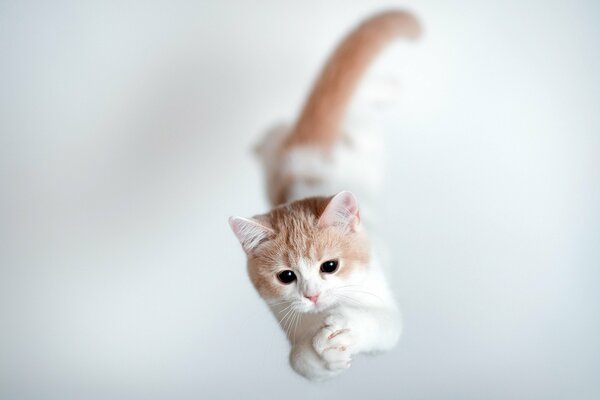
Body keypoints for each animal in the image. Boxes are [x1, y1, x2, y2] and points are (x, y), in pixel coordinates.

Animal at [229, 10, 422, 382]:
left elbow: (382, 323)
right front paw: (320, 354)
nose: (313, 296)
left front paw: (343, 330)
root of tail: (310, 141)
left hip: (365, 135)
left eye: (329, 266)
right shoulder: (287, 317)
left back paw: (389, 87)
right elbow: (300, 360)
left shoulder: (381, 301)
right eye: (286, 276)